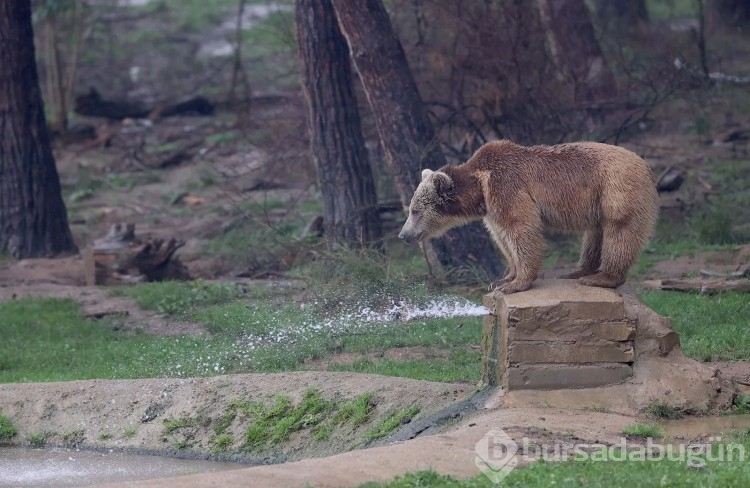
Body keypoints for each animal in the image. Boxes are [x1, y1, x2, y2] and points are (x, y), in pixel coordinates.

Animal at [400, 139, 656, 296]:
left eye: (415, 211)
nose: (403, 235)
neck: (480, 187)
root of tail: (645, 163)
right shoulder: (492, 208)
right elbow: (503, 238)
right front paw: (503, 279)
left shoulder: (507, 186)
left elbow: (521, 228)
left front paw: (515, 284)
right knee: (594, 234)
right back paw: (577, 271)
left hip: (616, 189)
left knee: (619, 230)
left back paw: (601, 277)